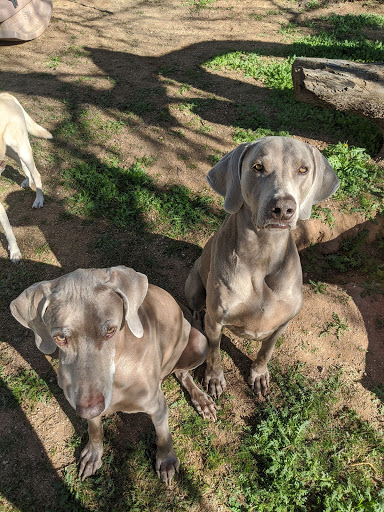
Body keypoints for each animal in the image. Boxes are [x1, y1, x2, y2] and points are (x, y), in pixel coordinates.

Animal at [0, 92, 52, 262]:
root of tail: (5, 94)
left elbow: (8, 230)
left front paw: (14, 252)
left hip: (21, 147)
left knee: (36, 173)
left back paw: (39, 199)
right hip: (9, 151)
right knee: (21, 163)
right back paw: (27, 181)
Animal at [10, 266, 216, 486]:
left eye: (110, 330)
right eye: (60, 338)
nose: (89, 408)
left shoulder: (157, 406)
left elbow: (163, 435)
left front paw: (167, 460)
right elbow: (94, 429)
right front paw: (93, 454)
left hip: (200, 342)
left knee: (183, 373)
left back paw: (202, 401)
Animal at [186, 136, 340, 400]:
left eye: (303, 169)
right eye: (258, 167)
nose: (283, 208)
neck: (262, 255)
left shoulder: (281, 324)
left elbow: (266, 351)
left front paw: (258, 375)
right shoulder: (216, 321)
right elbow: (215, 353)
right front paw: (214, 379)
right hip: (195, 285)